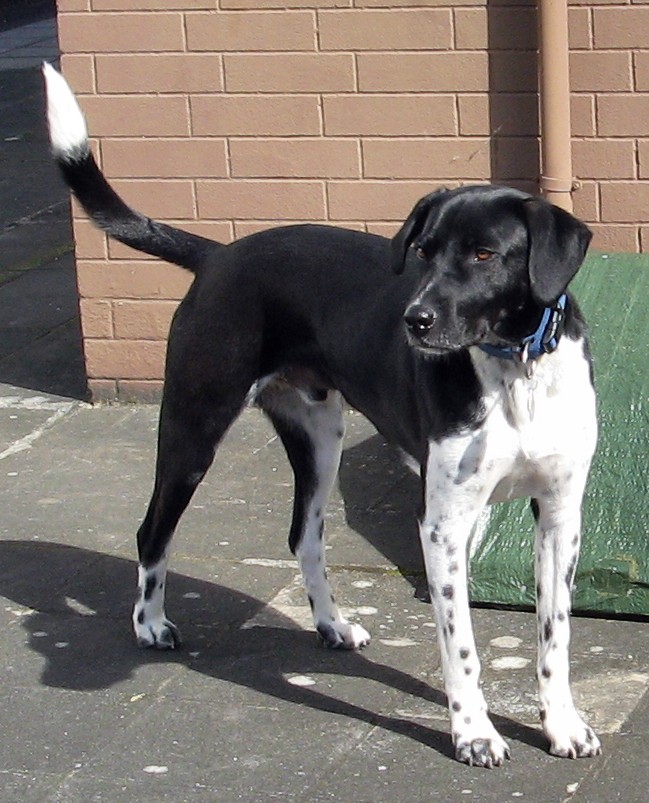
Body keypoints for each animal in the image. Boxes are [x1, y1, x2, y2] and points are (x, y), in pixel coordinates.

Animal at [44, 61, 604, 768]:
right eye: (423, 251)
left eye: (485, 255)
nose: (414, 319)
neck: (515, 373)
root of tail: (218, 256)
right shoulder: (442, 525)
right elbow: (463, 650)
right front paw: (474, 732)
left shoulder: (559, 515)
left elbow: (554, 636)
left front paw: (561, 724)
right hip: (194, 427)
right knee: (152, 532)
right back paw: (151, 624)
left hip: (321, 441)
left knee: (303, 536)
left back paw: (331, 624)